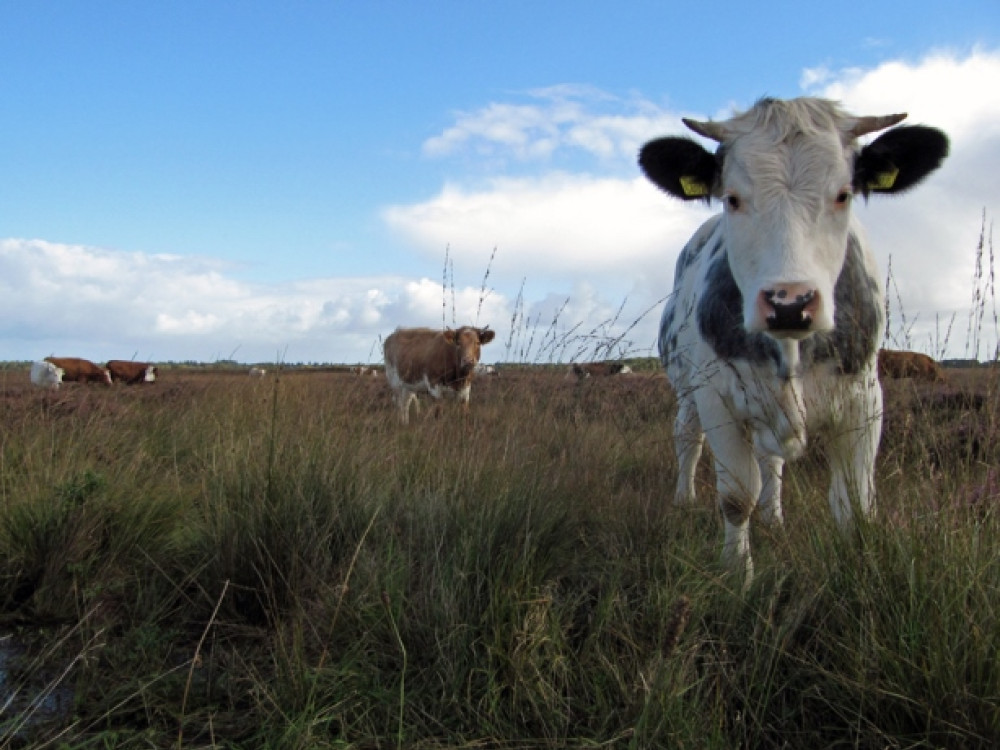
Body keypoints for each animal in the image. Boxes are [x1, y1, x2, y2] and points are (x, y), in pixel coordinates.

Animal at [640, 98, 944, 580]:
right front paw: (738, 574)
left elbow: (854, 500)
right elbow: (736, 496)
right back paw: (684, 499)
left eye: (843, 194)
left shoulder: (865, 400)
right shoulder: (718, 399)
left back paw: (774, 516)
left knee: (773, 461)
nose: (790, 302)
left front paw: (856, 568)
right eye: (733, 197)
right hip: (687, 388)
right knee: (687, 438)